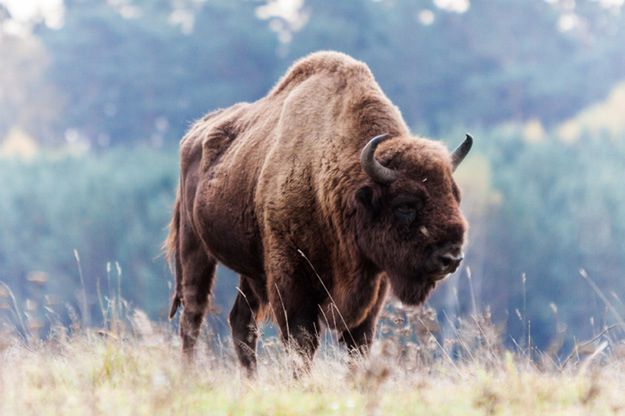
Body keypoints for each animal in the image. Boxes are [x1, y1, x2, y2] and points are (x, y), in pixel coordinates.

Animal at [163, 51, 470, 374]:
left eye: (455, 196)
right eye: (405, 205)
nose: (451, 258)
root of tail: (194, 134)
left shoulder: (372, 288)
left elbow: (357, 344)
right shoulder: (291, 282)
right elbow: (302, 342)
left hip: (252, 268)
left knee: (241, 323)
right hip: (194, 247)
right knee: (193, 315)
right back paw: (188, 372)